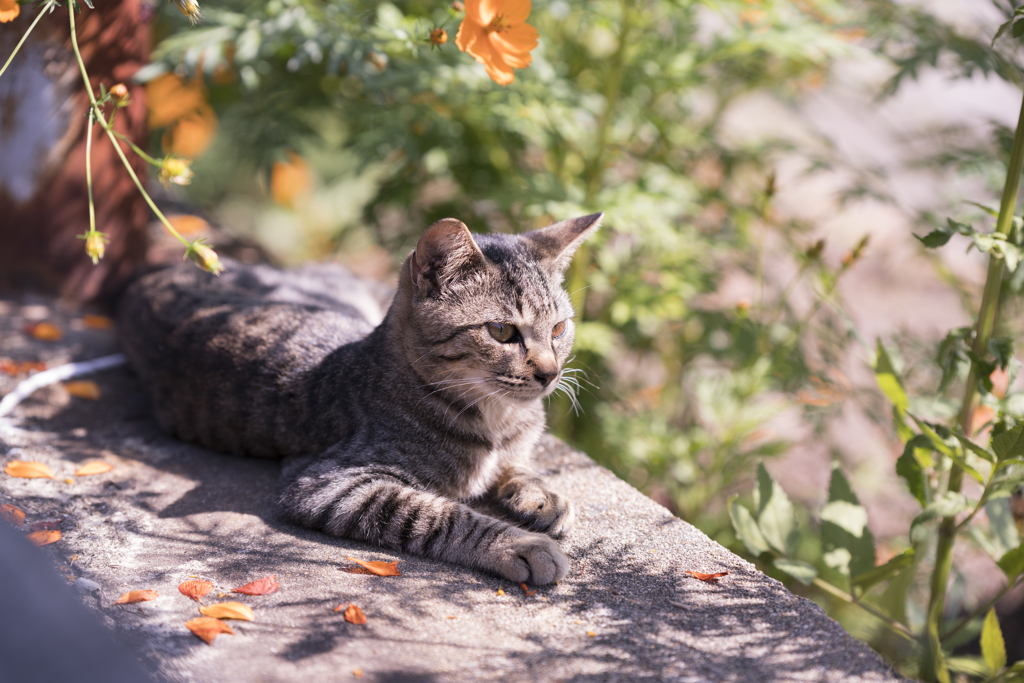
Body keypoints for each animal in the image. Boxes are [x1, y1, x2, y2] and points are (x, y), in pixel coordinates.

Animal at [117, 211, 602, 581]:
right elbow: (444, 516)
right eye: (501, 331)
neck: (496, 419)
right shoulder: (329, 485)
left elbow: (517, 466)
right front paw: (520, 545)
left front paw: (542, 495)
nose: (550, 373)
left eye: (559, 328)